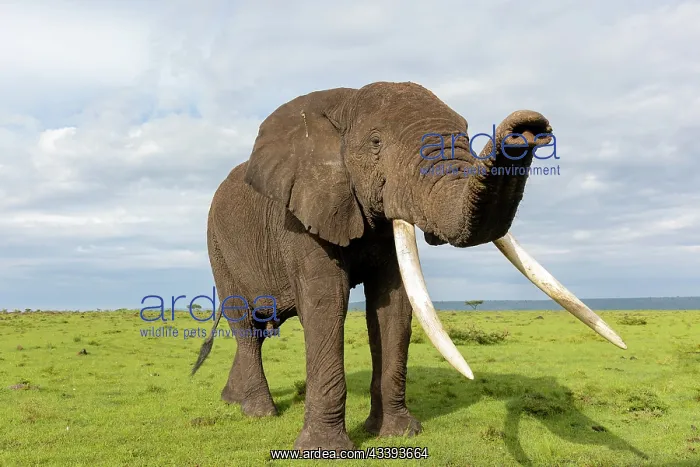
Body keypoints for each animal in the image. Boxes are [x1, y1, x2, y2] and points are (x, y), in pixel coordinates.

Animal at [191, 81, 626, 452]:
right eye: (376, 143)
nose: (532, 127)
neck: (343, 104)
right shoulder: (301, 214)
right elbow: (326, 302)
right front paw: (326, 451)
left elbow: (393, 304)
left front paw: (397, 434)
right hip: (217, 244)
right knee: (245, 323)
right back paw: (258, 413)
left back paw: (231, 401)